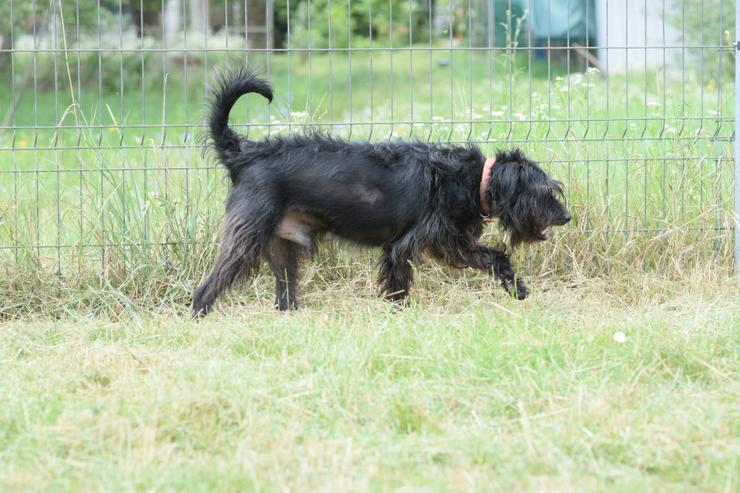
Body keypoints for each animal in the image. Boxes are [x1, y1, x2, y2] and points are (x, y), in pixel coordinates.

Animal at [192, 68, 572, 316]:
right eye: (544, 192)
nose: (567, 216)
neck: (473, 178)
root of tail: (244, 154)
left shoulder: (453, 244)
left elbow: (494, 257)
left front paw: (515, 287)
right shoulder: (404, 245)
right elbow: (399, 282)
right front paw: (400, 313)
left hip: (282, 247)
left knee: (285, 291)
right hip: (246, 239)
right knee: (207, 286)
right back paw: (199, 314)